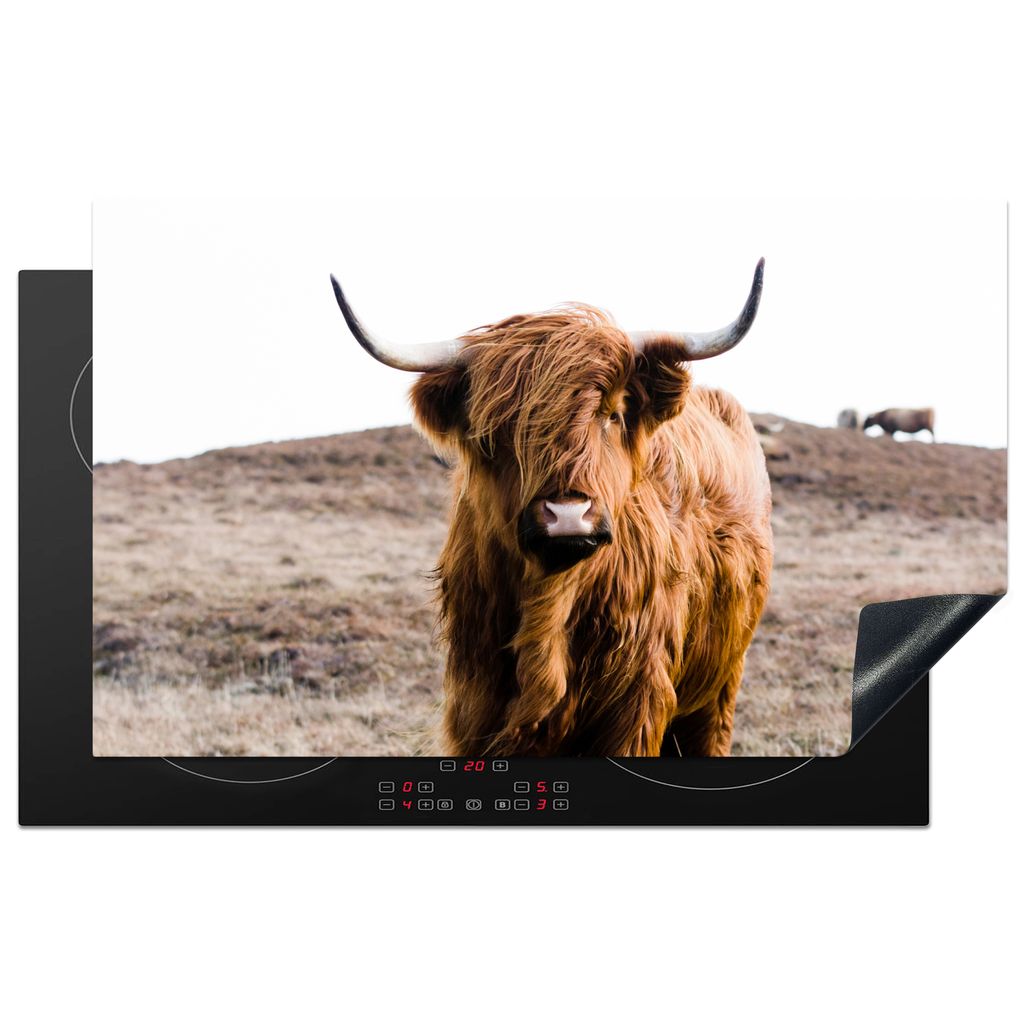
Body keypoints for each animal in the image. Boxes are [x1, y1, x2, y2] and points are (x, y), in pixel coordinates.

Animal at [330, 260, 773, 757]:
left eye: (612, 414)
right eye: (496, 429)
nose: (567, 515)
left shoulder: (637, 704)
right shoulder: (474, 702)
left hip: (722, 683)